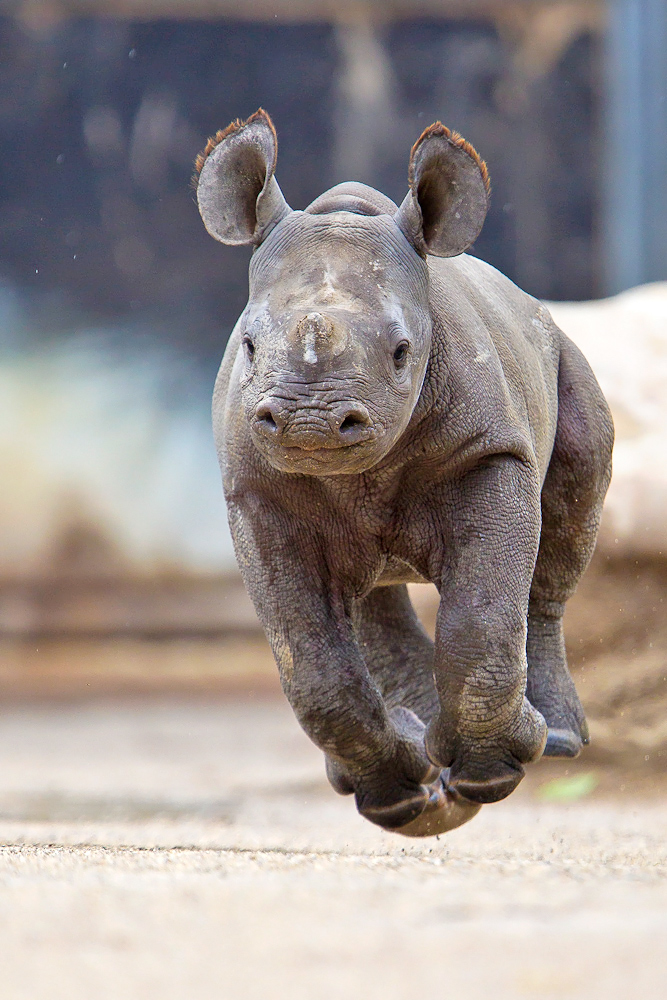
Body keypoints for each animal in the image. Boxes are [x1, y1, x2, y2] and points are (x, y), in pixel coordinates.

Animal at [196, 109, 612, 836]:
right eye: (247, 345)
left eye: (401, 352)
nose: (310, 423)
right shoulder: (255, 491)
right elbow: (310, 661)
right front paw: (398, 794)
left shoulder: (490, 451)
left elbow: (481, 618)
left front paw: (490, 772)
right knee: (365, 593)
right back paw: (417, 774)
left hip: (562, 353)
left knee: (567, 518)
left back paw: (551, 741)